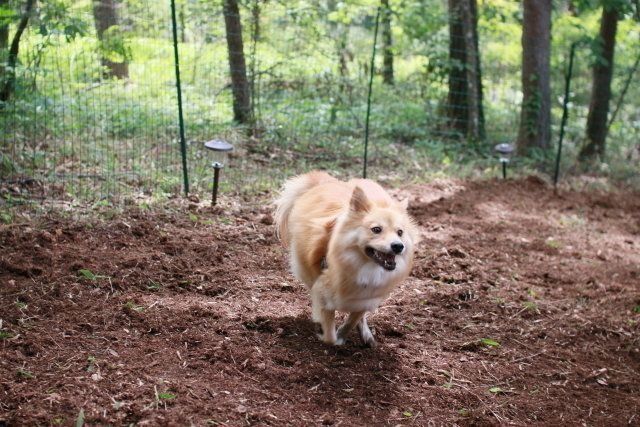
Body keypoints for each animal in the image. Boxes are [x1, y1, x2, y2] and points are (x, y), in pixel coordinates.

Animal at [274, 171, 418, 346]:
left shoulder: (367, 297)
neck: (363, 267)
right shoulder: (323, 292)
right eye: (376, 229)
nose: (398, 246)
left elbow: (354, 319)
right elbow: (329, 335)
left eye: (400, 232)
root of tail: (328, 181)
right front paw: (326, 334)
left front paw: (344, 334)